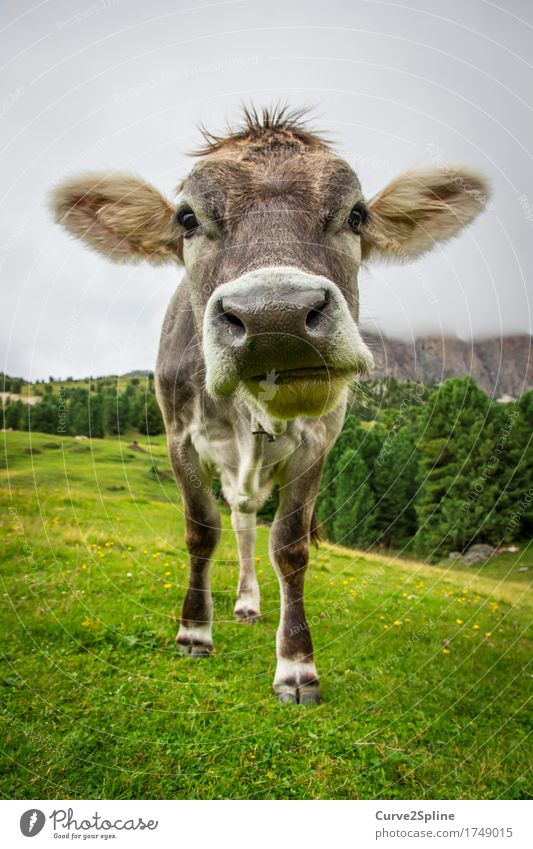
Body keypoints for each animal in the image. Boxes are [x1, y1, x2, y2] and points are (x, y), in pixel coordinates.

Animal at [52, 106, 488, 704]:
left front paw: (297, 664)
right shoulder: (177, 438)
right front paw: (194, 632)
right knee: (236, 524)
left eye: (357, 215)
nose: (275, 317)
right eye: (187, 218)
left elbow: (289, 546)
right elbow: (201, 530)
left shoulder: (318, 443)